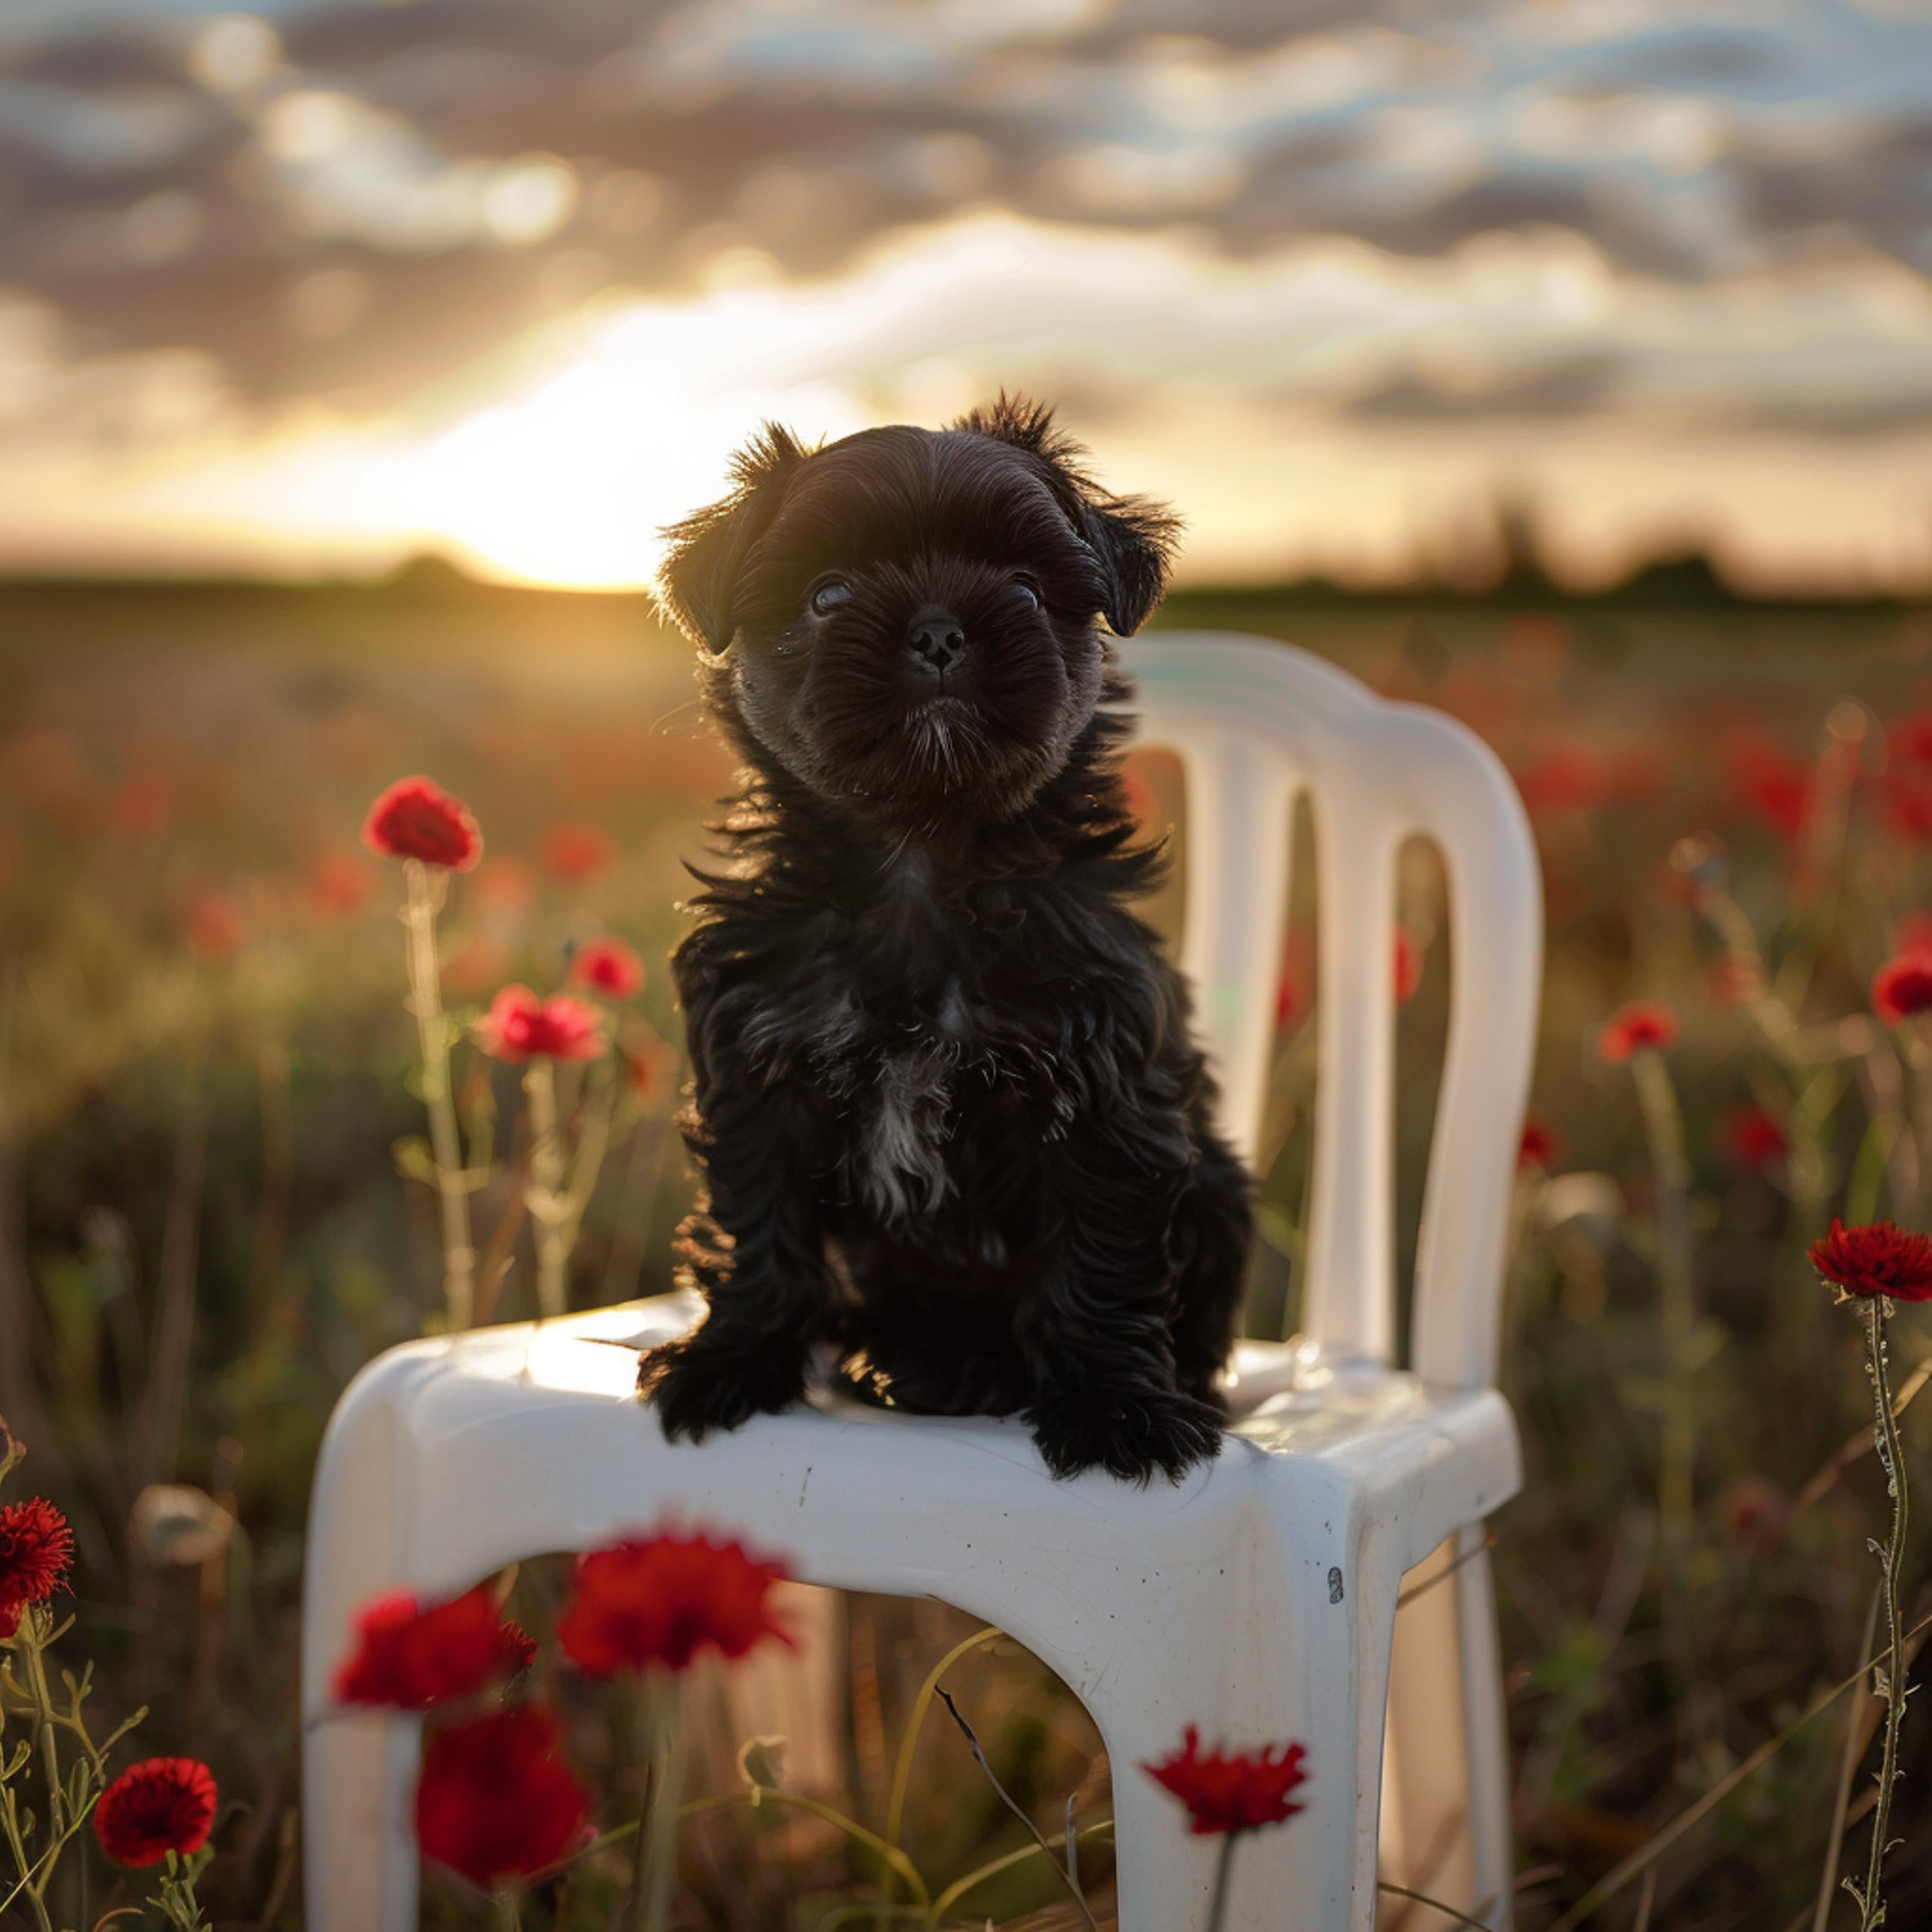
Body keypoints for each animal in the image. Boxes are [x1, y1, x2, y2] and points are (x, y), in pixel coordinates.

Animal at [641, 392, 1252, 1476]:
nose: (937, 631)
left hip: (1221, 1191)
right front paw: (732, 1360)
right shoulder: (757, 1065)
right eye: (828, 594)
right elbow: (758, 1228)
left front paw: (1118, 1408)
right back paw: (919, 1358)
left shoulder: (1103, 1092)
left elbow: (1101, 1254)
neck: (919, 862)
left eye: (1026, 587)